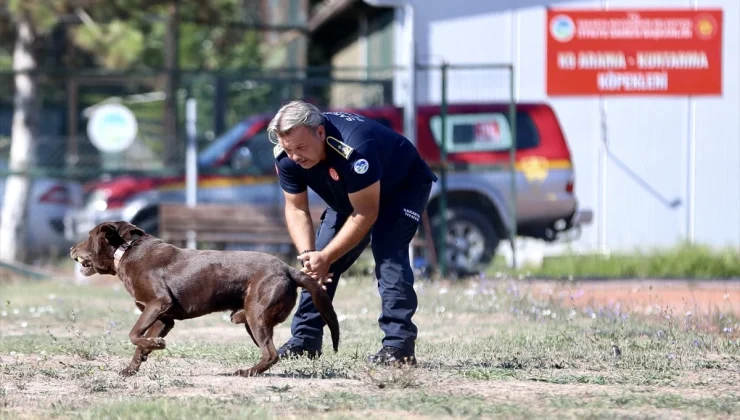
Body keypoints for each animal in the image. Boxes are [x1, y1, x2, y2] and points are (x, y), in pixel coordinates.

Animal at [68, 221, 340, 376]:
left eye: (88, 237)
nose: (71, 248)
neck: (124, 252)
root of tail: (288, 269)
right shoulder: (164, 318)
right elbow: (139, 343)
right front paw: (132, 367)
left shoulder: (158, 303)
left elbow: (134, 334)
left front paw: (157, 344)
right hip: (253, 320)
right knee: (270, 352)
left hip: (257, 315)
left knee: (271, 353)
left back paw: (246, 372)